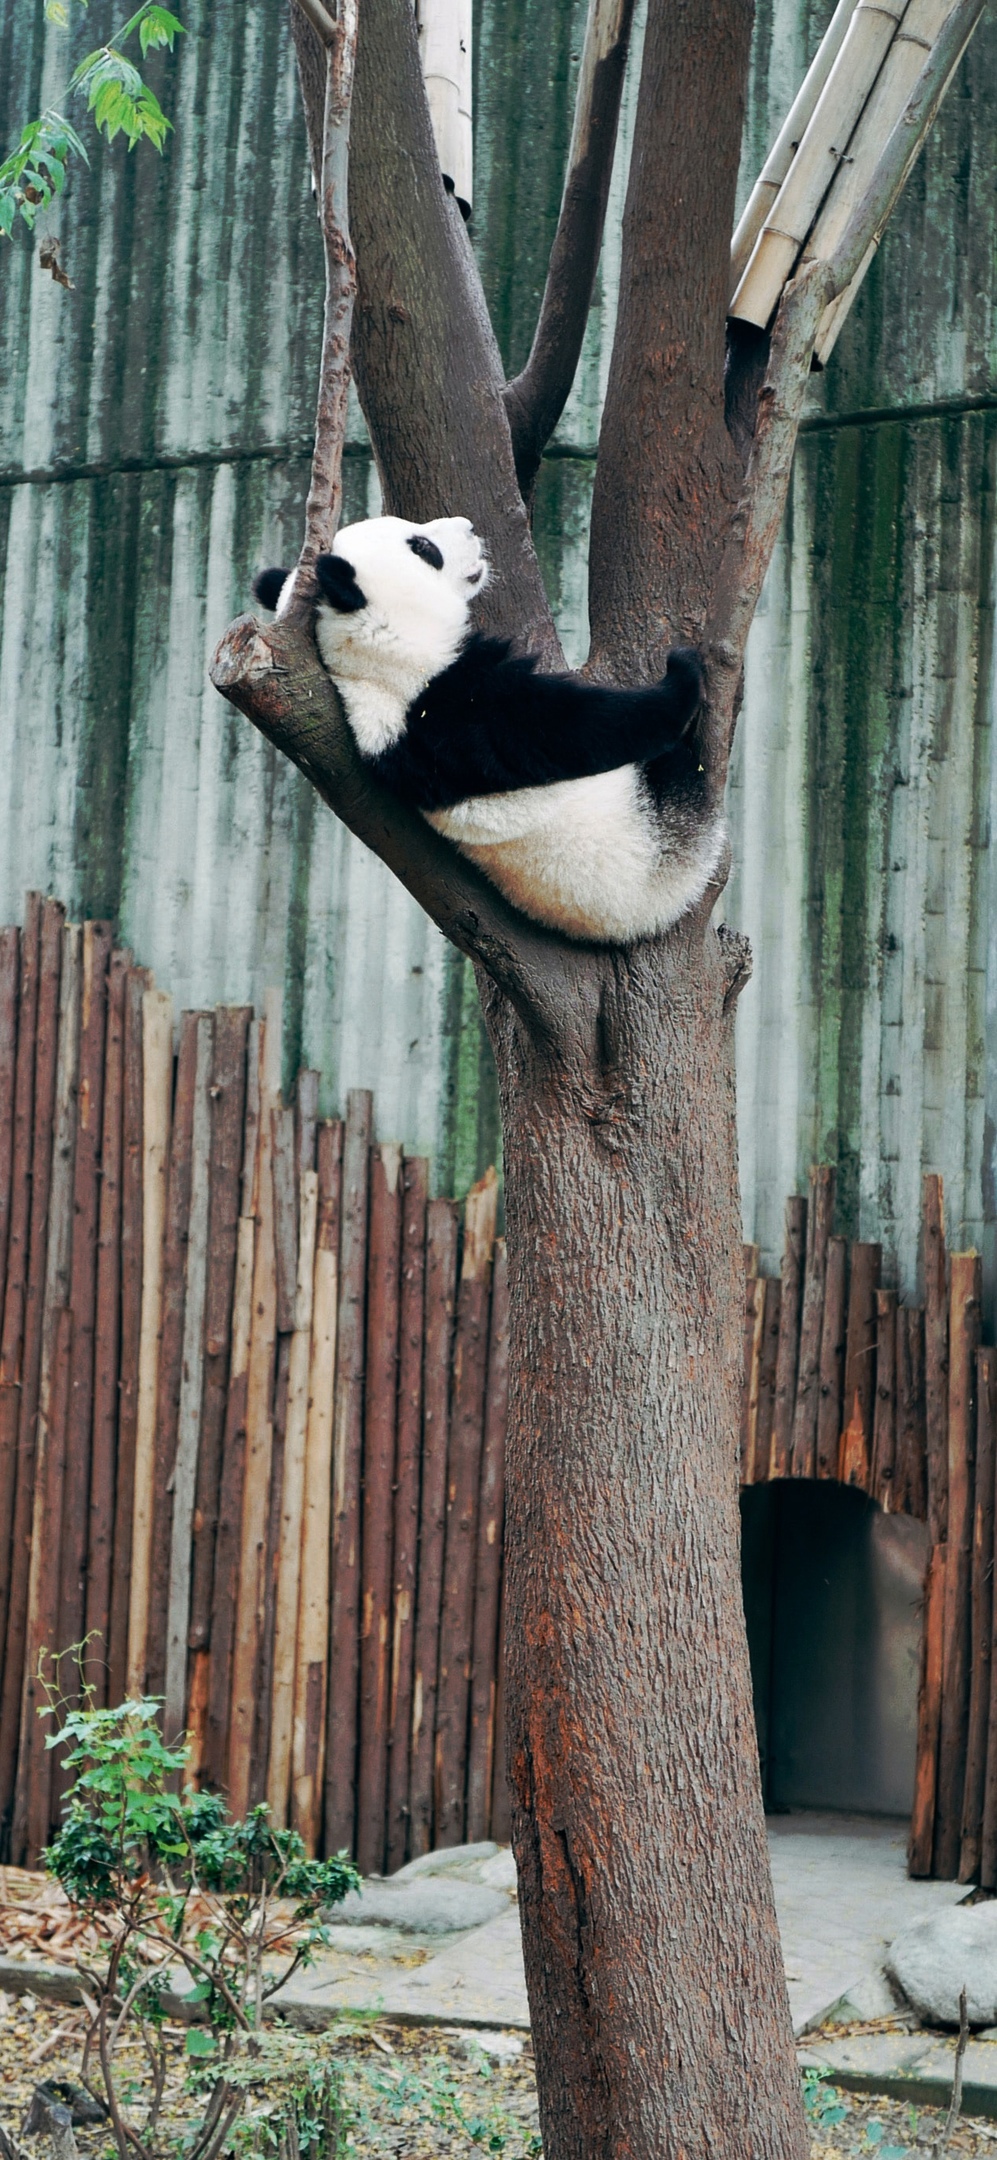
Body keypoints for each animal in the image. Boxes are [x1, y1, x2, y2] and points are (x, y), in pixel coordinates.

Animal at [253, 514, 725, 946]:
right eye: (422, 548)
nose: (469, 525)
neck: (373, 660)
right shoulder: (452, 707)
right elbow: (574, 729)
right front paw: (681, 677)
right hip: (656, 839)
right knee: (679, 779)